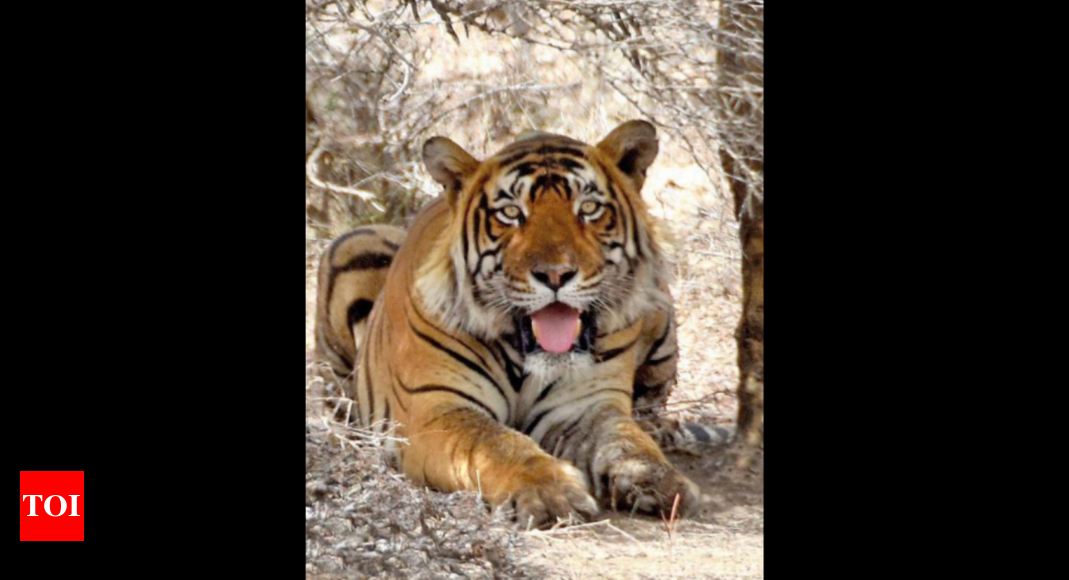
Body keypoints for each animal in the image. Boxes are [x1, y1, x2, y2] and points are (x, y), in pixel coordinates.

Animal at [312, 119, 705, 525]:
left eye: (589, 208)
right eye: (511, 213)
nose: (555, 274)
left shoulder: (586, 406)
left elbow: (626, 438)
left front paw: (659, 479)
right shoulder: (438, 408)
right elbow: (497, 443)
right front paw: (551, 493)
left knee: (651, 404)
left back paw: (662, 429)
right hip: (352, 243)